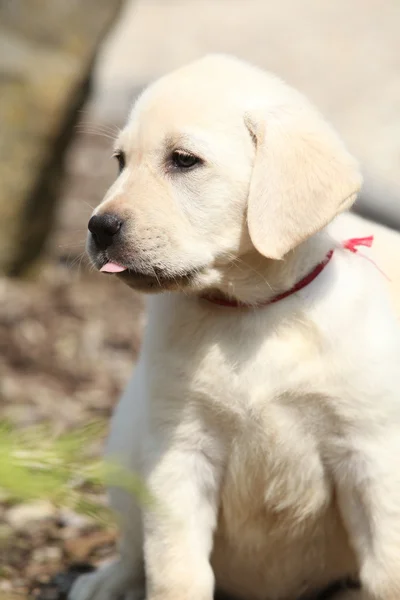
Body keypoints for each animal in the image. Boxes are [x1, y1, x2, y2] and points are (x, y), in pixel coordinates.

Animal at [70, 55, 400, 600]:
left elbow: (387, 568)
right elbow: (176, 569)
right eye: (119, 161)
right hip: (125, 449)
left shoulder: (370, 453)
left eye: (183, 160)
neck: (252, 311)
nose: (98, 227)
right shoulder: (179, 452)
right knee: (134, 547)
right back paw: (109, 579)